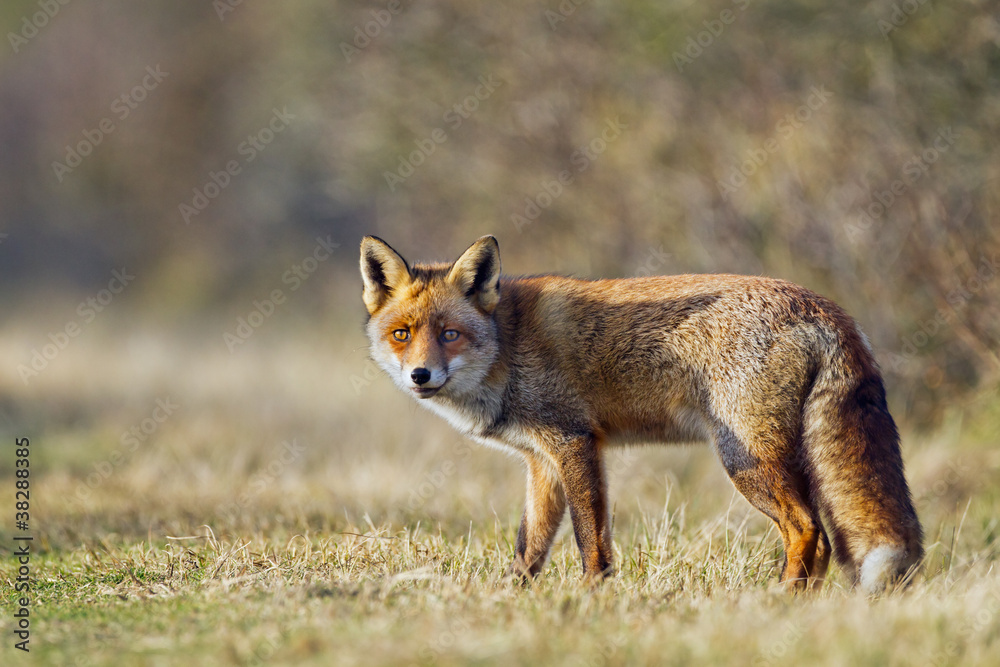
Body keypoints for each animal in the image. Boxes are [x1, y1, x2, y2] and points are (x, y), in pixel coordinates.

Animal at [360, 235, 920, 596]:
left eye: (450, 334)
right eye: (402, 334)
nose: (421, 376)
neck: (507, 347)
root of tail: (825, 307)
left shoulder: (574, 442)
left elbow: (589, 535)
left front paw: (593, 596)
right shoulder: (542, 462)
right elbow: (530, 545)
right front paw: (513, 600)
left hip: (745, 458)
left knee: (808, 530)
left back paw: (779, 599)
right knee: (821, 539)